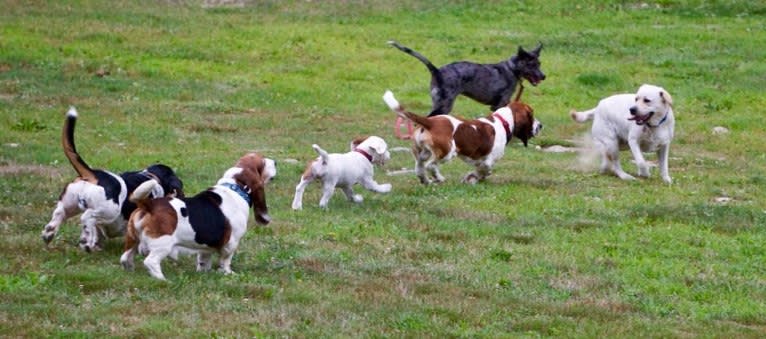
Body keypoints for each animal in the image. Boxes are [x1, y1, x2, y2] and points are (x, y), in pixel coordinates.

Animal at [43, 107, 184, 254]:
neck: (152, 176)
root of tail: (93, 174)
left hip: (70, 203)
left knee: (60, 213)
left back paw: (51, 233)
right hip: (109, 209)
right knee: (87, 216)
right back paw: (87, 239)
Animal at [120, 153, 276, 280]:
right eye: (262, 162)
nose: (275, 161)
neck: (235, 187)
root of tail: (148, 205)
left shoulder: (205, 248)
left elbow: (203, 260)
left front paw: (204, 273)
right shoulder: (231, 243)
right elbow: (226, 260)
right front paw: (228, 273)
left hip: (132, 240)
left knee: (125, 257)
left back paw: (130, 270)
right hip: (162, 244)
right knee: (150, 262)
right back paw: (163, 279)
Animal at [382, 87, 540, 183]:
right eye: (531, 115)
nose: (540, 126)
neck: (503, 121)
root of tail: (430, 122)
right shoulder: (488, 162)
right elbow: (484, 171)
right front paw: (471, 179)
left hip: (421, 152)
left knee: (420, 168)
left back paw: (426, 181)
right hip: (447, 152)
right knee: (430, 166)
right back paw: (439, 178)